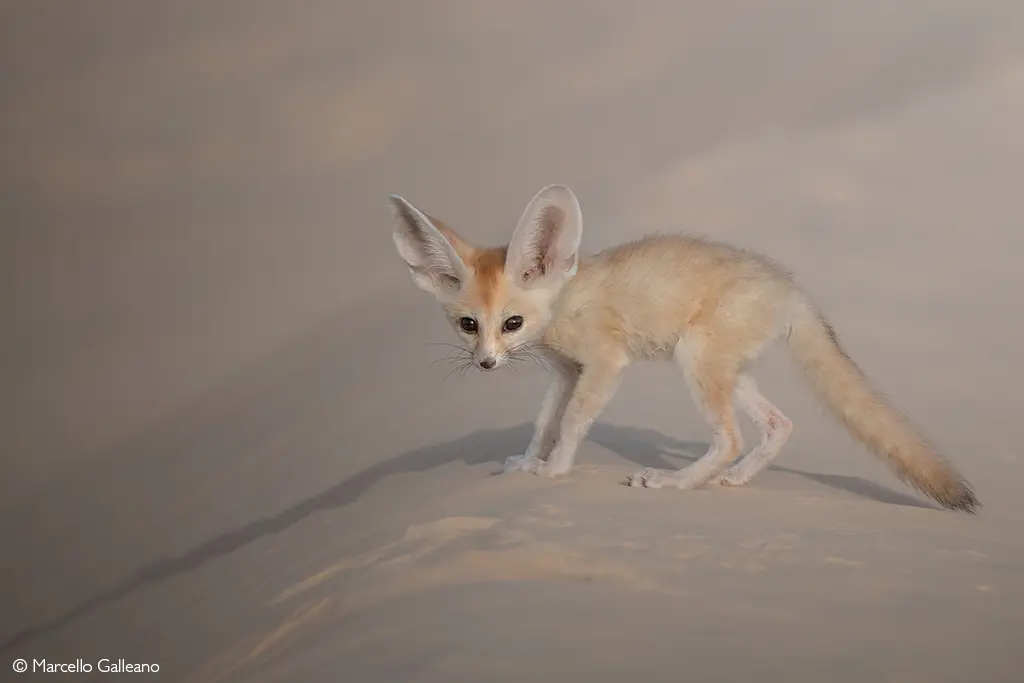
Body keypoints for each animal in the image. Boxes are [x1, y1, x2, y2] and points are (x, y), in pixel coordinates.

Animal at [387, 184, 979, 512]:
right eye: (469, 325)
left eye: (512, 322)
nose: (487, 363)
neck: (566, 300)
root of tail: (792, 289)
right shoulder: (565, 371)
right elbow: (543, 424)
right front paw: (527, 463)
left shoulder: (605, 363)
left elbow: (573, 423)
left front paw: (553, 474)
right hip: (729, 373)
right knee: (778, 425)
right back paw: (730, 479)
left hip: (696, 361)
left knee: (730, 438)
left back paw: (674, 482)